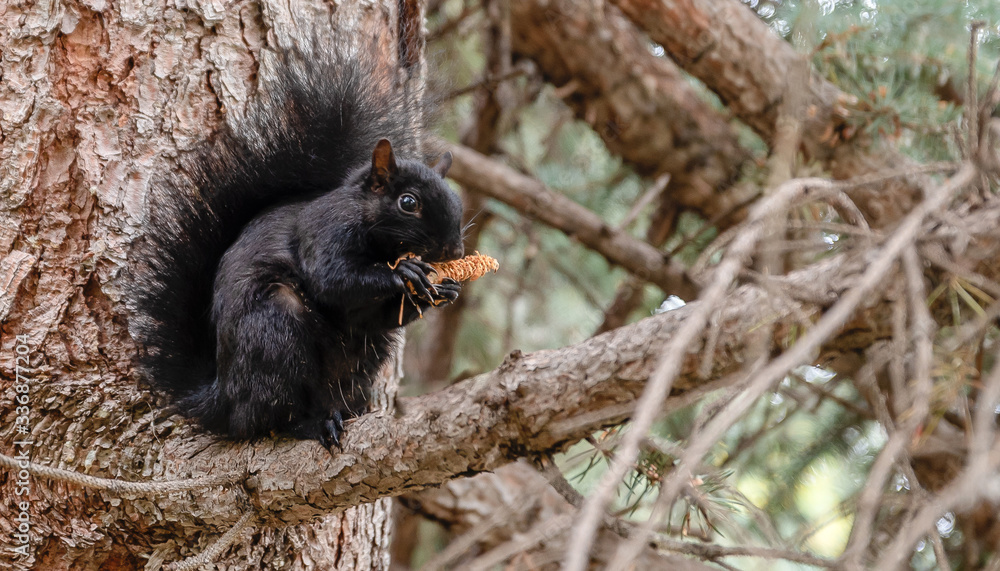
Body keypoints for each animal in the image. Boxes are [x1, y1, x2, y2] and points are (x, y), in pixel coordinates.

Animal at [129, 44, 465, 451]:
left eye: (457, 200)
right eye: (408, 202)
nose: (454, 251)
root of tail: (222, 399)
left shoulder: (367, 313)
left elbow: (374, 315)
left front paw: (444, 289)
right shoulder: (322, 232)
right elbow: (332, 280)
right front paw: (405, 271)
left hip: (364, 359)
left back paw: (350, 412)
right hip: (275, 330)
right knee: (267, 418)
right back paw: (312, 424)